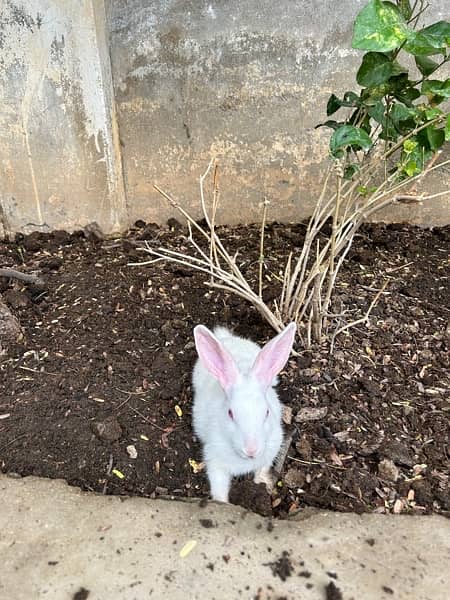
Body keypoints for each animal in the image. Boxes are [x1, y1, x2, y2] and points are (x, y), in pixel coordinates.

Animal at [192, 324, 296, 502]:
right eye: (230, 413)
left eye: (267, 412)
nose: (251, 450)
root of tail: (227, 338)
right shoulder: (215, 461)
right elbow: (219, 488)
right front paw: (223, 503)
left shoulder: (271, 449)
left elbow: (262, 469)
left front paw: (261, 483)